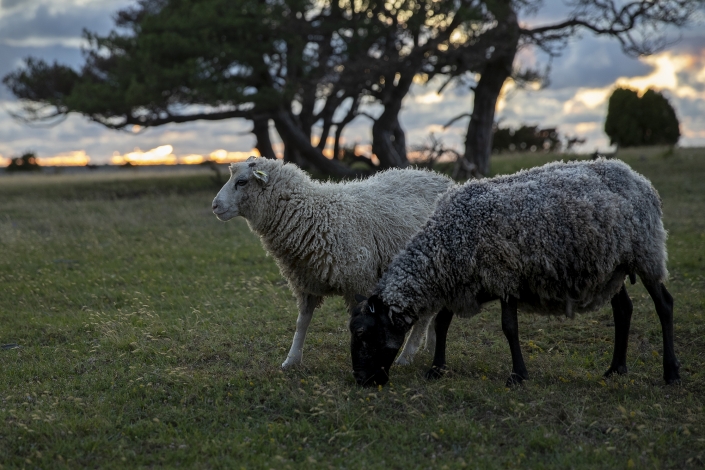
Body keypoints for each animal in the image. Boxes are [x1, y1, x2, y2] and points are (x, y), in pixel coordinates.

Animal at [210, 156, 452, 370]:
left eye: (242, 181)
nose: (214, 206)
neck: (314, 214)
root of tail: (443, 179)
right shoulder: (306, 282)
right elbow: (302, 322)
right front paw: (291, 361)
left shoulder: (358, 283)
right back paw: (430, 345)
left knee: (425, 316)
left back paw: (406, 356)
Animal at [350, 160, 680, 388]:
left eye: (363, 334)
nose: (362, 380)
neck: (448, 240)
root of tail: (638, 178)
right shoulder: (461, 284)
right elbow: (443, 324)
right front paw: (436, 368)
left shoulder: (504, 275)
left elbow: (509, 328)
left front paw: (517, 375)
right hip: (611, 268)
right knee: (624, 309)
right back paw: (615, 370)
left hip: (646, 253)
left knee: (664, 304)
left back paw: (671, 373)